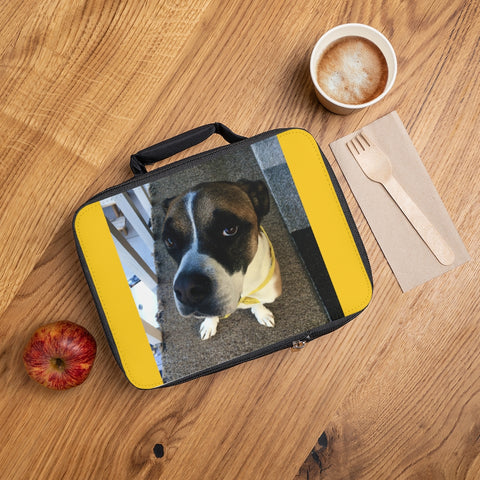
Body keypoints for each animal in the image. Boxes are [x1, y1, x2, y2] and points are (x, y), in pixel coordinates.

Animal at [161, 178, 282, 340]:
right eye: (170, 241)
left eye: (230, 229)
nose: (186, 289)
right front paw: (209, 324)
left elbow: (256, 302)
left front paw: (261, 313)